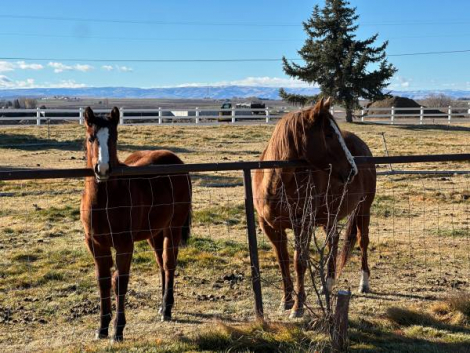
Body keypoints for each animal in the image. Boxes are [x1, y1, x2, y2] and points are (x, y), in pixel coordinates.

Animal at [80, 106, 192, 340]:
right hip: (154, 232)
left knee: (169, 263)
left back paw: (167, 308)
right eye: (91, 137)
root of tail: (177, 161)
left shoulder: (124, 244)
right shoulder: (95, 244)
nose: (102, 169)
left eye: (113, 138)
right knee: (160, 263)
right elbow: (103, 282)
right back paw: (161, 306)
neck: (104, 202)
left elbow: (120, 282)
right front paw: (101, 328)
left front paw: (118, 330)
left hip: (173, 227)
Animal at [253, 97, 374, 318]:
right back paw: (328, 283)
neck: (276, 184)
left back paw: (364, 283)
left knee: (363, 242)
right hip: (330, 216)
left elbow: (299, 261)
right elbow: (282, 260)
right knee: (334, 239)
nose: (352, 169)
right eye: (328, 134)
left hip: (363, 210)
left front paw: (298, 307)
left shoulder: (304, 224)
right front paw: (286, 300)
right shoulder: (270, 227)